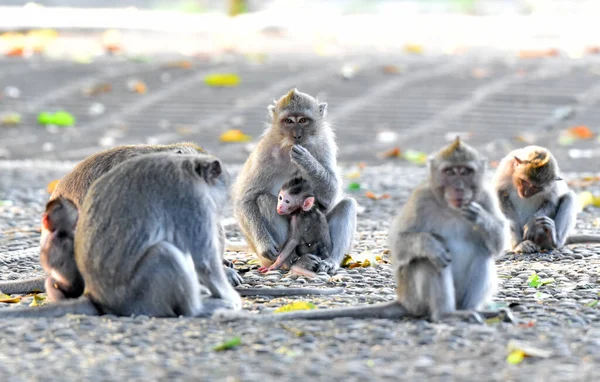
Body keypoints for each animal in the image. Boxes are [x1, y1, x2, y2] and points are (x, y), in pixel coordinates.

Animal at [216, 139, 516, 324]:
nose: (459, 189)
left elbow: (498, 242)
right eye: (450, 172)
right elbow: (401, 244)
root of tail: (405, 300)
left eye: (466, 172)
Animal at [232, 89, 358, 274]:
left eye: (303, 120)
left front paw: (306, 160)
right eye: (289, 121)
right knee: (264, 200)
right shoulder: (264, 152)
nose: (296, 135)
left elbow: (331, 195)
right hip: (268, 258)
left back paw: (330, 261)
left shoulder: (324, 143)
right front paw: (265, 244)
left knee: (347, 204)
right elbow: (245, 199)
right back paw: (292, 262)